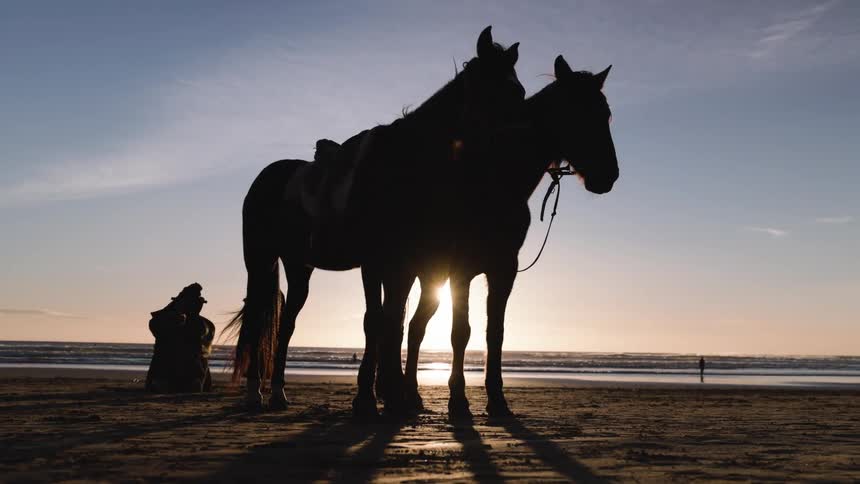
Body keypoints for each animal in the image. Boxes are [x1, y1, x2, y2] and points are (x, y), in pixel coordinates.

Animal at [225, 26, 525, 415]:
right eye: (496, 88)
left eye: (519, 90)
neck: (402, 167)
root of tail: (265, 178)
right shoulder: (374, 262)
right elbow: (376, 321)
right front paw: (369, 397)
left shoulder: (403, 266)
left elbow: (393, 322)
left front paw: (394, 395)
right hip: (260, 260)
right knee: (258, 315)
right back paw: (254, 392)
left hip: (299, 266)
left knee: (286, 324)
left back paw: (277, 392)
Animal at [387, 55, 619, 418]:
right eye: (578, 111)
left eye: (605, 113)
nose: (609, 175)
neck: (496, 182)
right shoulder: (462, 271)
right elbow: (461, 332)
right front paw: (458, 400)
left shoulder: (504, 269)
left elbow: (495, 332)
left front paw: (497, 399)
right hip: (405, 272)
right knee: (395, 326)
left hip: (431, 278)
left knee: (414, 328)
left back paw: (411, 395)